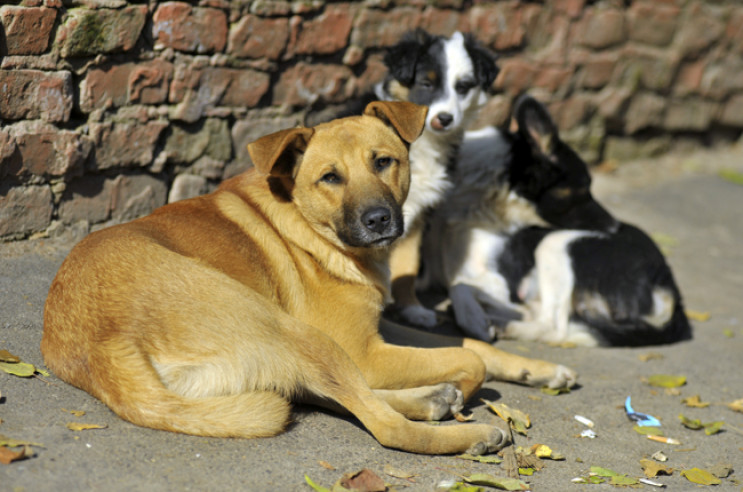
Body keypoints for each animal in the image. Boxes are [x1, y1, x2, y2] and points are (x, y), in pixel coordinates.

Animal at [40, 102, 576, 456]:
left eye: (384, 161)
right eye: (330, 178)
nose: (380, 220)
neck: (308, 223)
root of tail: (102, 349)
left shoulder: (375, 329)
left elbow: (473, 345)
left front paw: (536, 369)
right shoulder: (365, 351)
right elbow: (468, 359)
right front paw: (467, 387)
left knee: (330, 396)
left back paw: (430, 399)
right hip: (297, 333)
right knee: (382, 424)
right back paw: (466, 429)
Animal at [422, 95, 696, 346]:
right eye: (583, 189)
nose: (615, 227)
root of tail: (672, 293)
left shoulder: (501, 280)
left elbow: (459, 284)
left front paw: (473, 321)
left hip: (555, 244)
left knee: (553, 326)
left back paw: (505, 324)